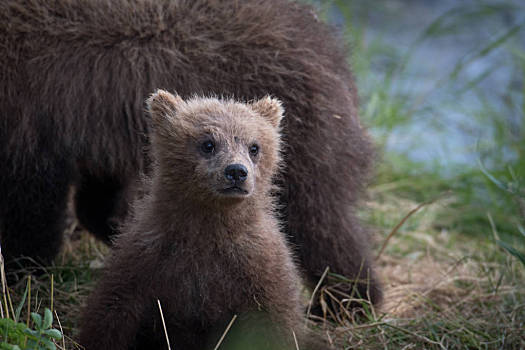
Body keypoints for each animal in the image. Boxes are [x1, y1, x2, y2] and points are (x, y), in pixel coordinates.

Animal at [0, 0, 380, 304]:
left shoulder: (31, 108)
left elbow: (29, 204)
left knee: (320, 220)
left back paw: (350, 299)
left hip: (297, 133)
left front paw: (21, 272)